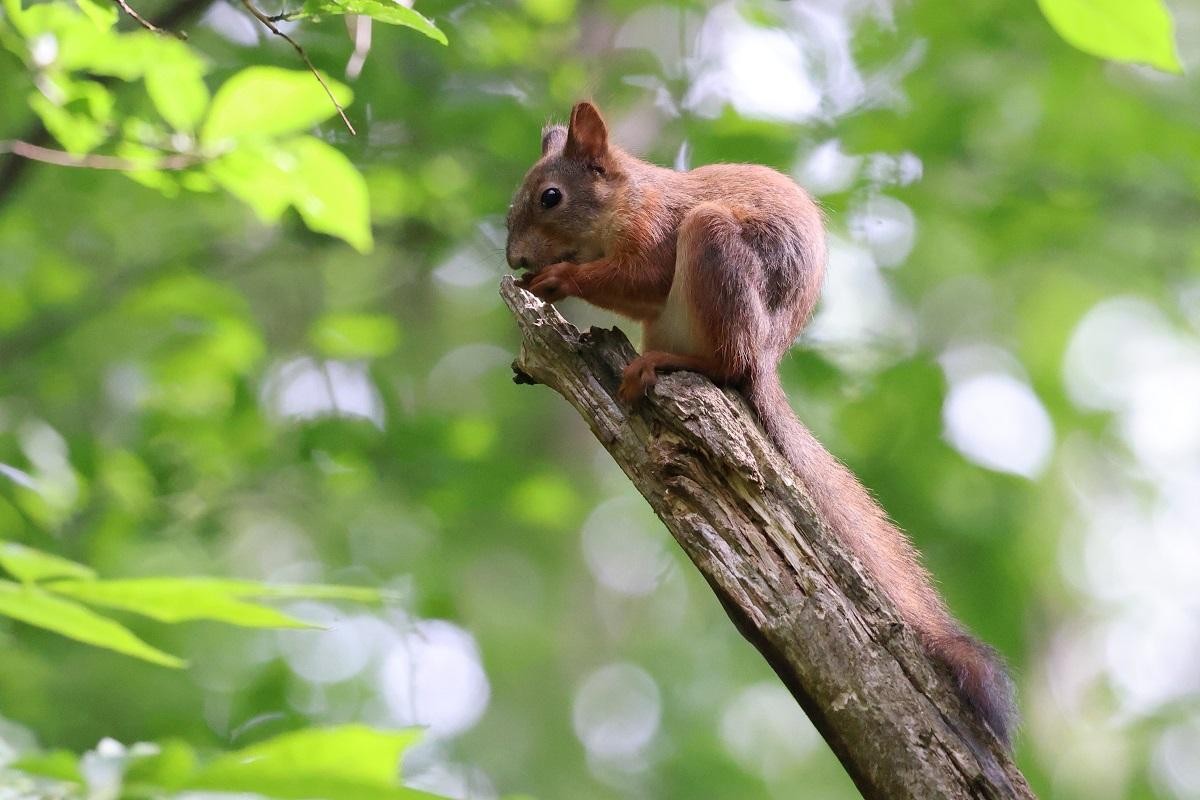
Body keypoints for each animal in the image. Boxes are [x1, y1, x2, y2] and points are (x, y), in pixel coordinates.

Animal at [505, 101, 1016, 746]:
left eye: (551, 196)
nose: (514, 259)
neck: (625, 199)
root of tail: (767, 358)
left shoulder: (659, 230)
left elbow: (642, 277)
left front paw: (558, 281)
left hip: (715, 245)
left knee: (728, 364)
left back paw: (672, 364)